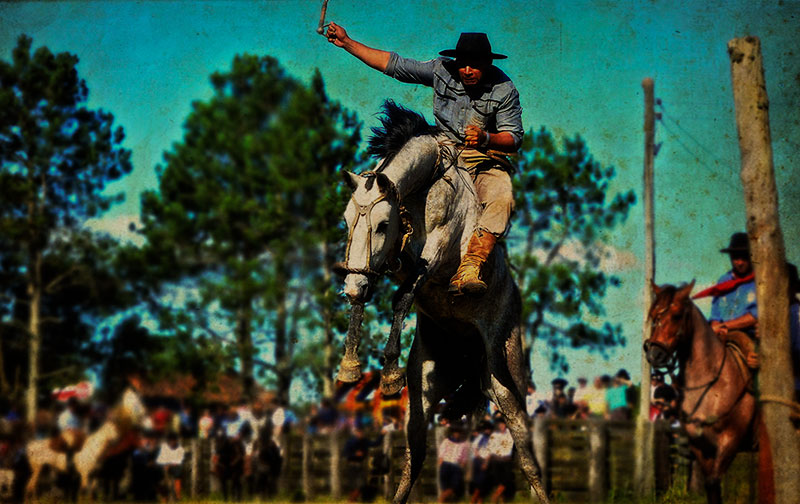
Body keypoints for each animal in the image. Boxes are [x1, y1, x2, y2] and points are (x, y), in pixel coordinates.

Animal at [332, 102, 552, 504]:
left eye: (383, 224)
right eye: (346, 221)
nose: (350, 285)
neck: (426, 185)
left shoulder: (437, 252)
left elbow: (403, 298)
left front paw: (389, 374)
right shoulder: (389, 262)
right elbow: (373, 291)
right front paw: (350, 367)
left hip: (508, 385)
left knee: (528, 458)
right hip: (424, 395)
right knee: (415, 456)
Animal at [644, 282, 776, 504]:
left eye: (677, 315)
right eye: (654, 314)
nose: (655, 354)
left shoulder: (730, 440)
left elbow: (714, 481)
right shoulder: (699, 445)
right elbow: (711, 487)